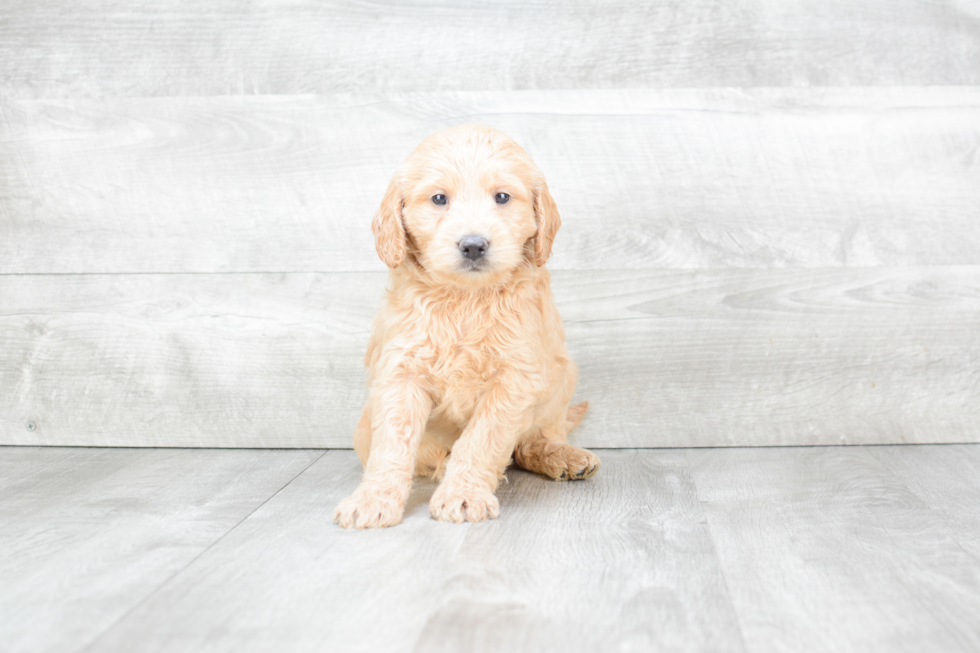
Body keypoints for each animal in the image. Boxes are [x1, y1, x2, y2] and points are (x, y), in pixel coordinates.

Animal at [334, 123, 596, 528]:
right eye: (439, 199)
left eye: (502, 197)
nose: (473, 245)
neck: (466, 299)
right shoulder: (401, 370)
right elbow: (393, 442)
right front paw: (373, 498)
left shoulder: (515, 377)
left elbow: (481, 440)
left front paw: (463, 494)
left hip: (561, 376)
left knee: (533, 440)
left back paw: (561, 455)